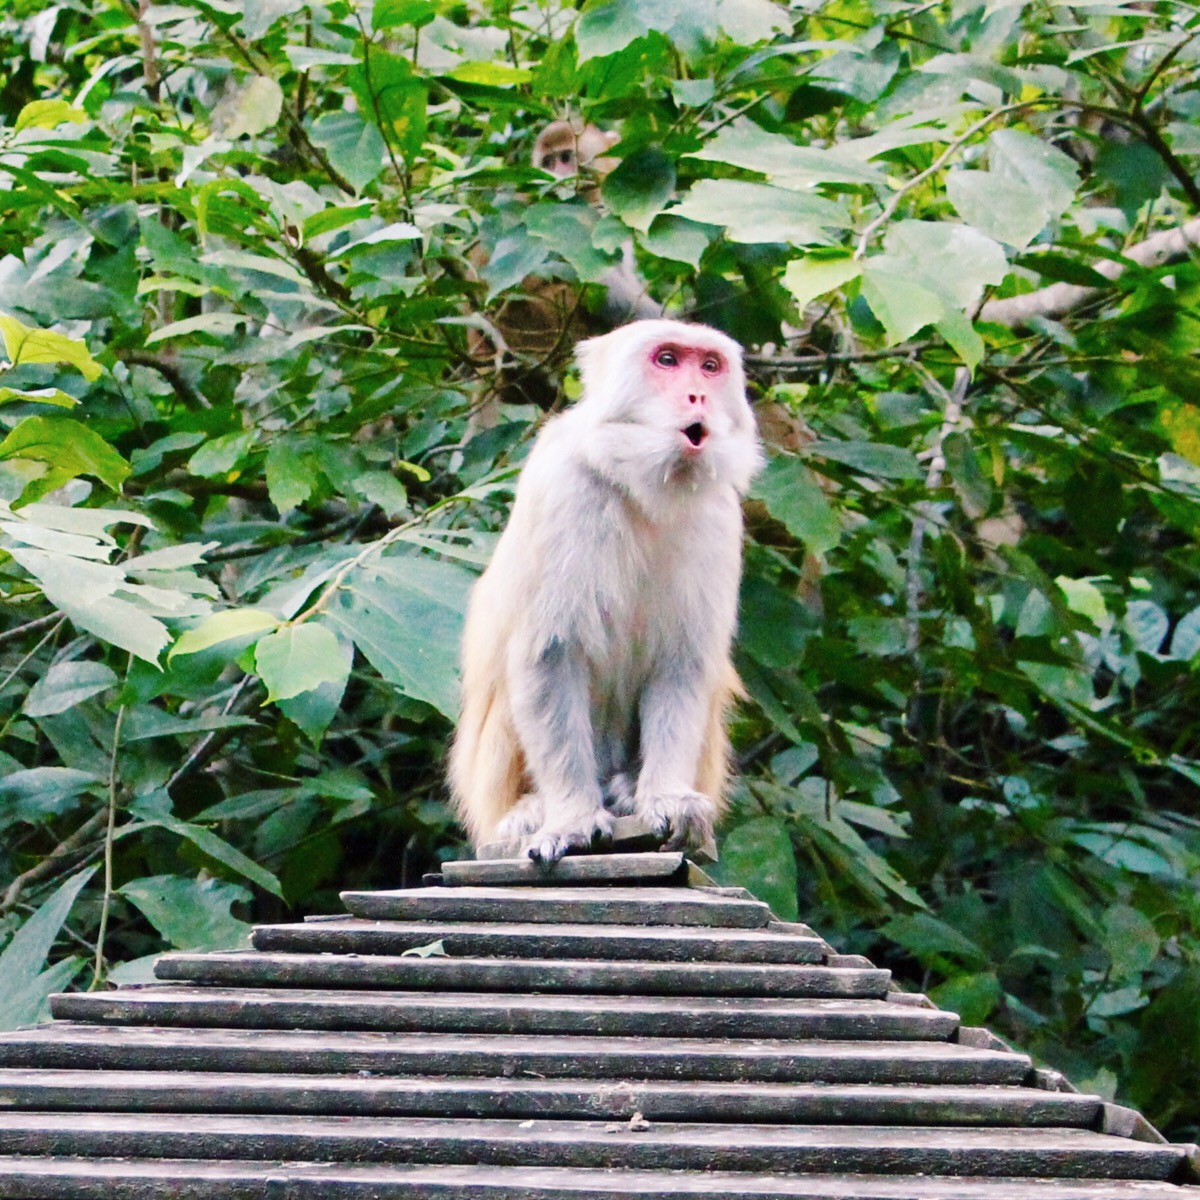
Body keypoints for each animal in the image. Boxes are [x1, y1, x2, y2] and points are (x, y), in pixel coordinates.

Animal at [451, 319, 758, 864]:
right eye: (667, 360)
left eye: (709, 366)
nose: (698, 395)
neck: (639, 484)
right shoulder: (565, 488)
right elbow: (548, 655)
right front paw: (572, 817)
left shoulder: (720, 514)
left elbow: (683, 664)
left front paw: (665, 798)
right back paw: (534, 807)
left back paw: (627, 788)